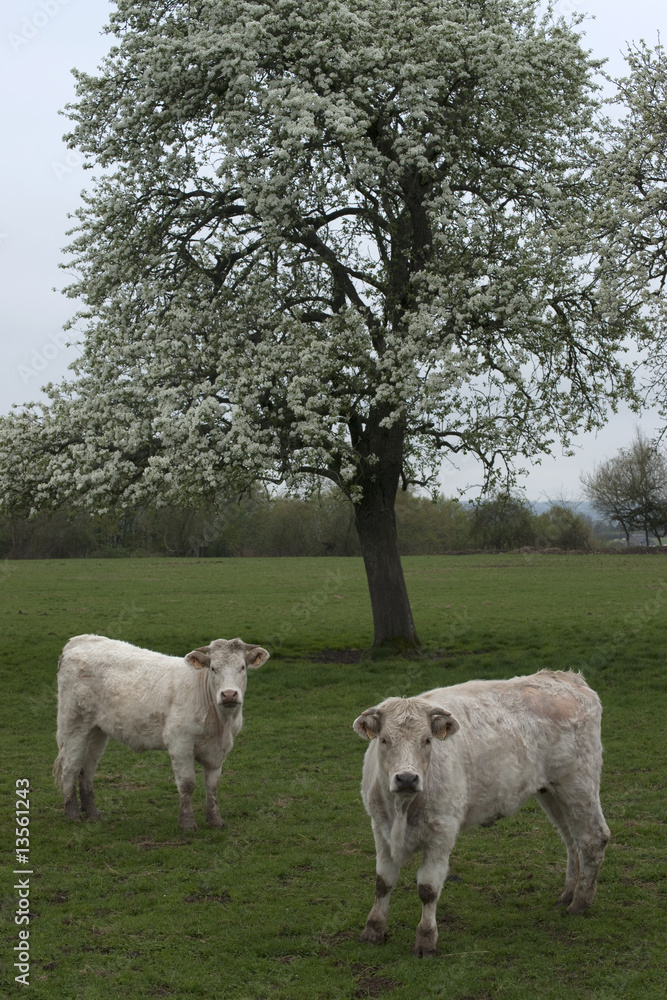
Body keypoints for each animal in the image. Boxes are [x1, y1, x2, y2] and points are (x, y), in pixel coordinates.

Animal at [53, 634, 269, 830]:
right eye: (214, 668)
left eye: (242, 667)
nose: (229, 694)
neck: (220, 723)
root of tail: (81, 639)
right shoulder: (180, 742)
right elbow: (187, 783)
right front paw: (187, 823)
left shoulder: (219, 750)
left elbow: (213, 785)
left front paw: (216, 820)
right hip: (73, 724)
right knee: (70, 768)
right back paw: (73, 814)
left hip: (98, 730)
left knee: (87, 769)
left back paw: (93, 813)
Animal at [353, 670, 610, 957]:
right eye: (384, 740)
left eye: (427, 740)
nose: (407, 778)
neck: (402, 810)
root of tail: (564, 677)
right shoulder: (380, 827)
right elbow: (383, 881)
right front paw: (373, 930)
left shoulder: (442, 830)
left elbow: (428, 888)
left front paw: (426, 939)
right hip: (551, 792)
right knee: (572, 840)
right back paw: (567, 895)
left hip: (578, 784)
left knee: (593, 837)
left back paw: (580, 903)